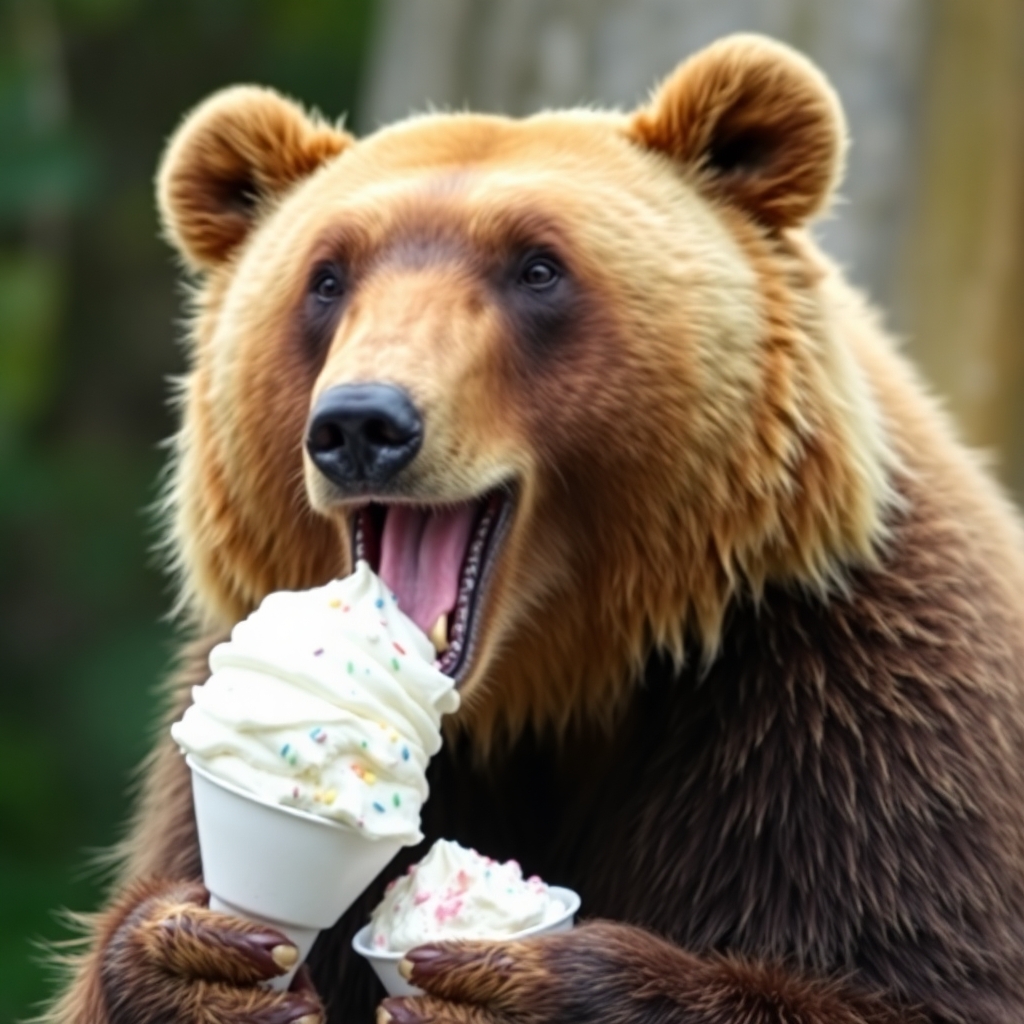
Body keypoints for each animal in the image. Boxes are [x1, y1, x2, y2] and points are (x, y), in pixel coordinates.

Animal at [47, 32, 1024, 1024]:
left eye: (538, 267)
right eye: (325, 277)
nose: (362, 424)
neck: (551, 686)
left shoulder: (860, 715)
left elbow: (909, 973)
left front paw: (509, 979)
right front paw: (195, 963)